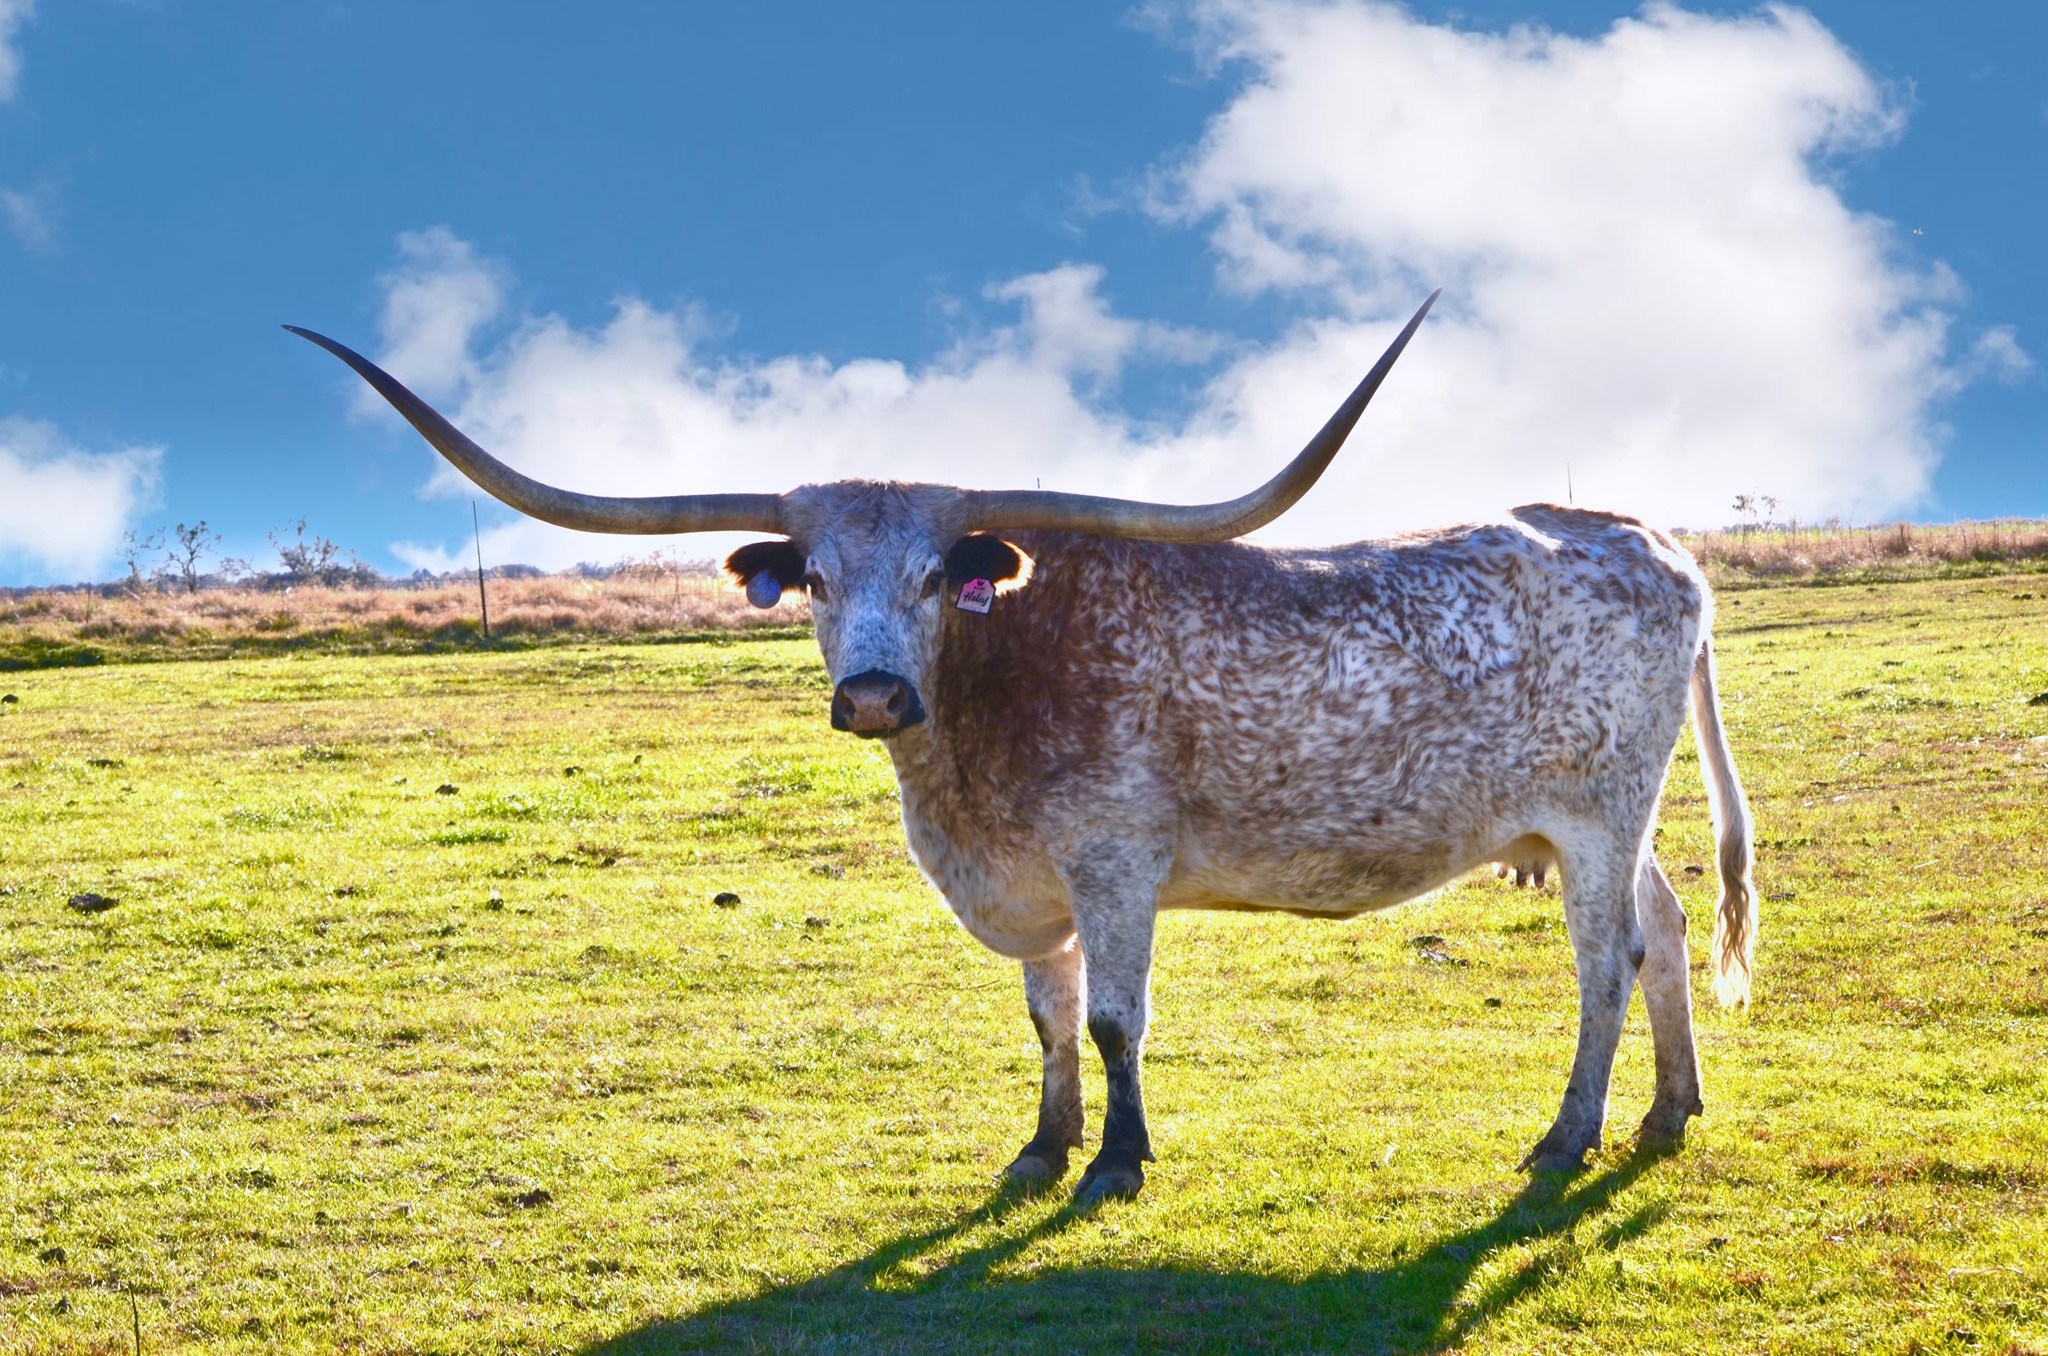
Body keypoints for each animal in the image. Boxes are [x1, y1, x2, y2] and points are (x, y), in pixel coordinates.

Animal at [288, 292, 1756, 1208]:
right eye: (815, 578)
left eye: (942, 573)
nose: (875, 696)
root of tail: (1652, 541)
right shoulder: (1033, 887)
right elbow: (1050, 1019)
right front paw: (1046, 1149)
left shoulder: (1113, 865)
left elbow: (1113, 1017)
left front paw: (1118, 1162)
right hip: (1595, 819)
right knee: (1667, 925)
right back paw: (1667, 1113)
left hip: (1595, 815)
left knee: (1604, 961)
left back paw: (1567, 1136)